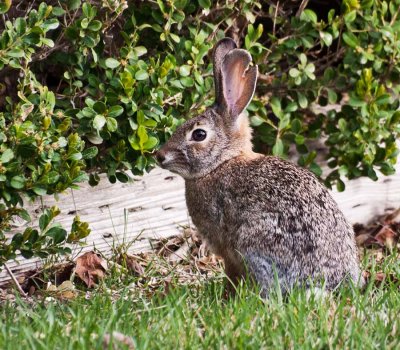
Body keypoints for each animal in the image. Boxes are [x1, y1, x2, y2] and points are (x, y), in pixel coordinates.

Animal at [155, 37, 362, 296]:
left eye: (199, 134)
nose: (159, 155)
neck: (222, 163)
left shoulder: (226, 246)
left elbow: (230, 271)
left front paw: (228, 295)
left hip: (255, 246)